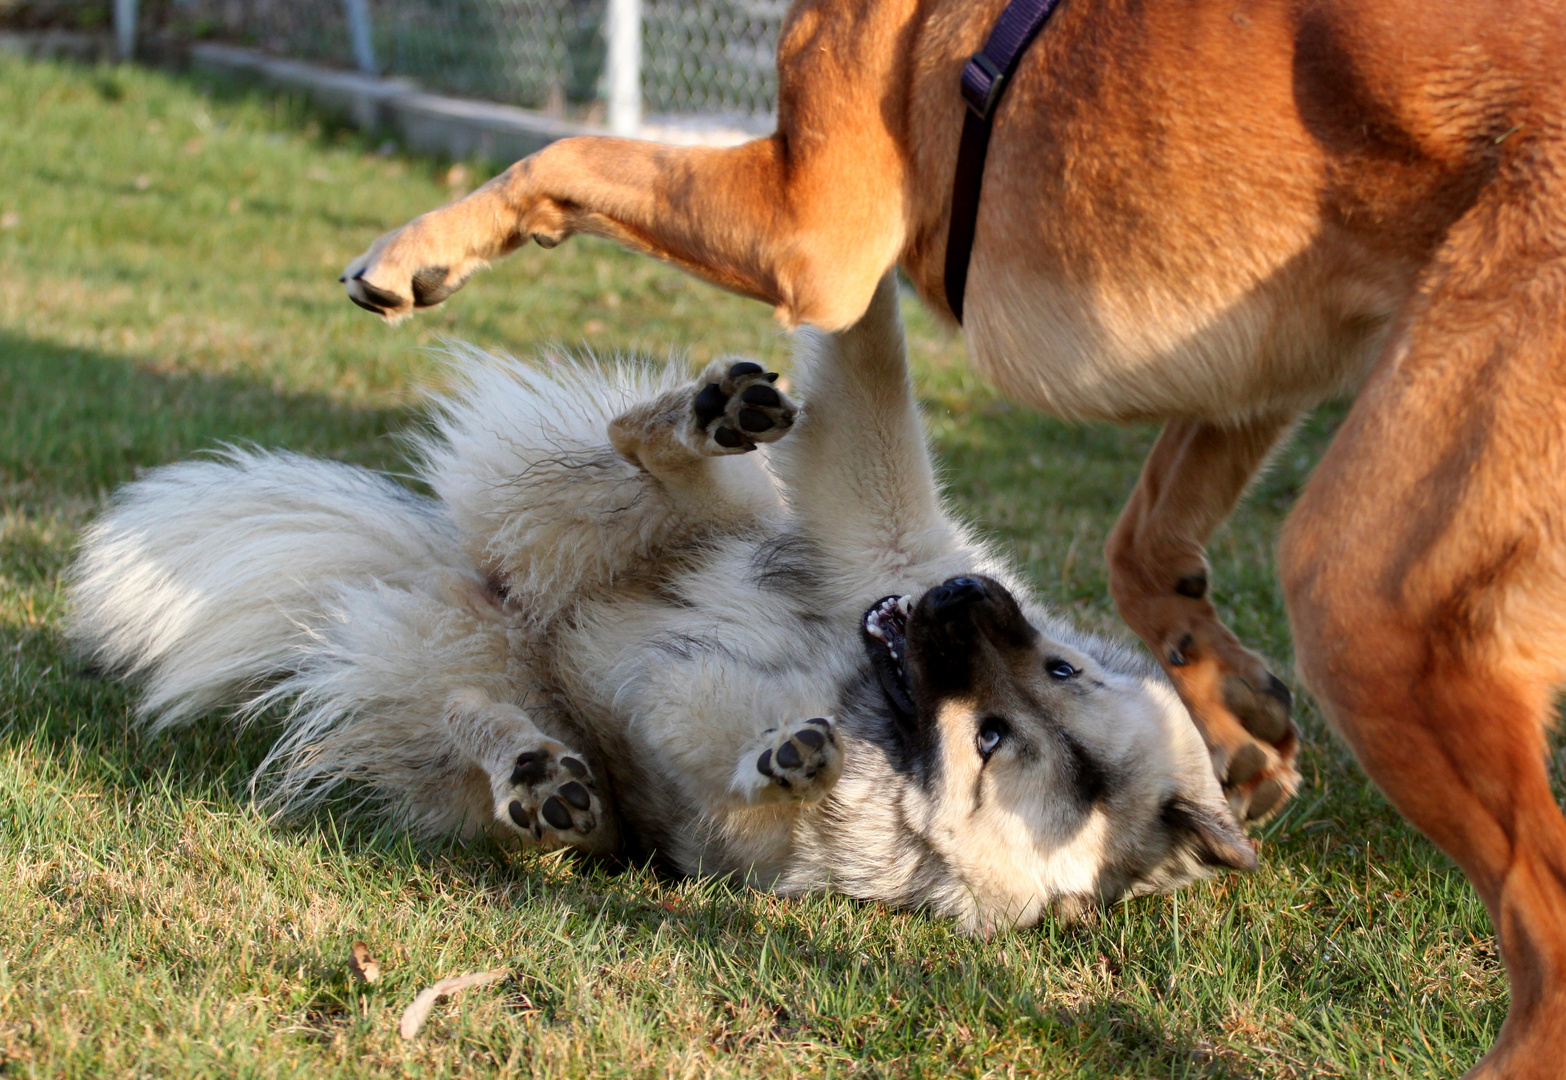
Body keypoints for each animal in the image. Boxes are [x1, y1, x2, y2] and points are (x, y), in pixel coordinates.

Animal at [70, 275, 1246, 926]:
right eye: (1063, 663)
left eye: (998, 739)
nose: (960, 592)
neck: (873, 712)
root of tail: (478, 593)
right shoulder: (878, 525)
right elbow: (873, 381)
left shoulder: (747, 829)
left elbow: (735, 783)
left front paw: (787, 764)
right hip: (664, 518)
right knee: (638, 458)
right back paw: (706, 416)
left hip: (495, 723)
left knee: (473, 723)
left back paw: (540, 778)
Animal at [342, 0, 1566, 1070]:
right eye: (1059, 670)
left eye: (995, 740)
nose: (967, 597)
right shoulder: (1262, 367)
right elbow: (1145, 541)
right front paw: (1237, 713)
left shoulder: (815, 229)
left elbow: (570, 149)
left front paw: (412, 250)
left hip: (1361, 593)